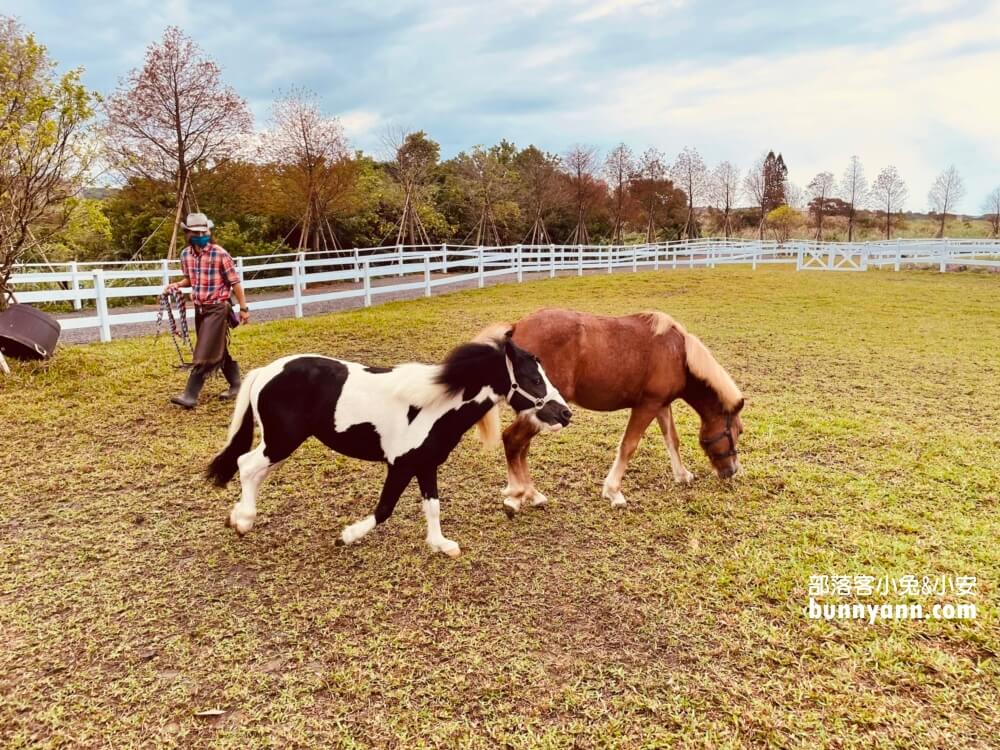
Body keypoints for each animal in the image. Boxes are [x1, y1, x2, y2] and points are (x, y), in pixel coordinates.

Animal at [205, 334, 572, 560]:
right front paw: (346, 536)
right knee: (245, 465)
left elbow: (433, 506)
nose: (565, 413)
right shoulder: (401, 464)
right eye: (534, 379)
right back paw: (243, 521)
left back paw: (237, 517)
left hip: (280, 444)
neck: (434, 405)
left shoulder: (426, 464)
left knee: (253, 470)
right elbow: (384, 510)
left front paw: (441, 545)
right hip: (282, 441)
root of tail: (265, 371)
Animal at [498, 308, 744, 516]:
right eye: (738, 431)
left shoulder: (662, 405)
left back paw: (530, 494)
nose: (732, 470)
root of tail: (517, 327)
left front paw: (682, 475)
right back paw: (516, 495)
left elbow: (672, 440)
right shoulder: (647, 406)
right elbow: (628, 446)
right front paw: (613, 491)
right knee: (512, 440)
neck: (679, 355)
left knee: (521, 446)